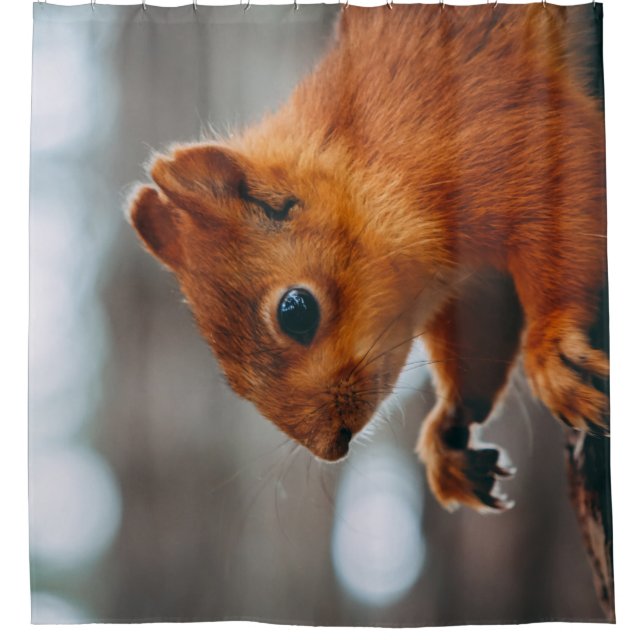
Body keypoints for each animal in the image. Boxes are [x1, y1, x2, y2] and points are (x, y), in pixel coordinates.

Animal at [127, 5, 608, 512]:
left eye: (296, 311)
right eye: (232, 381)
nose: (333, 445)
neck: (370, 159)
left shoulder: (503, 124)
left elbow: (573, 185)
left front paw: (551, 349)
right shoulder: (473, 281)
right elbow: (480, 333)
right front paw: (449, 430)